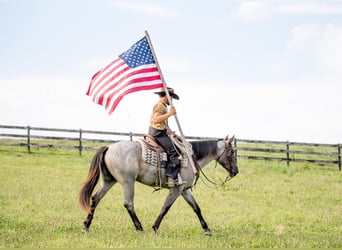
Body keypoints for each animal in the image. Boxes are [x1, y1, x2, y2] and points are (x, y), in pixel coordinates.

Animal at [78, 135, 238, 234]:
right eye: (232, 152)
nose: (236, 171)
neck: (191, 158)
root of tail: (109, 148)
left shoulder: (184, 190)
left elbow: (196, 208)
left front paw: (207, 229)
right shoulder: (177, 189)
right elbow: (165, 208)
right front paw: (155, 227)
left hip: (108, 180)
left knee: (95, 199)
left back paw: (86, 226)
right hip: (128, 182)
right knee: (128, 203)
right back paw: (140, 228)